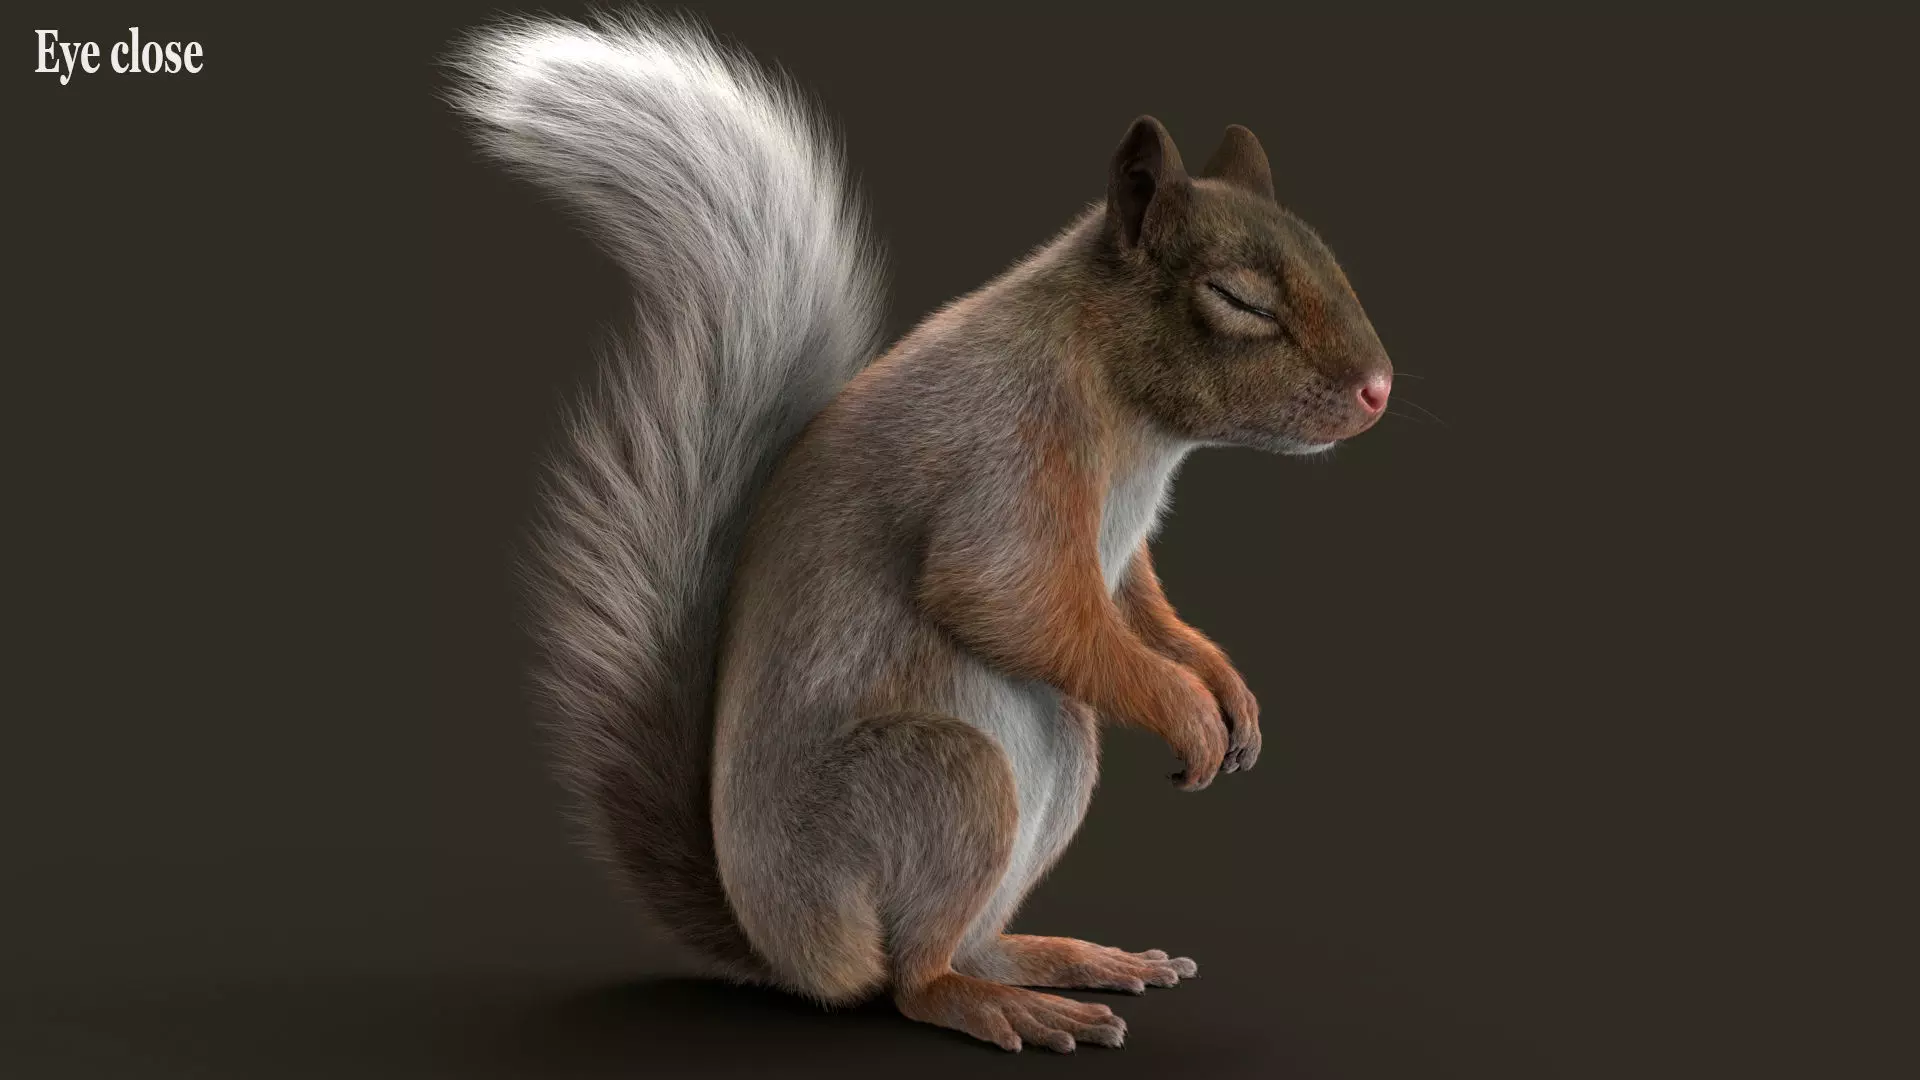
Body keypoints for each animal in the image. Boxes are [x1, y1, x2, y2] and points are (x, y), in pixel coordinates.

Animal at [453, 14, 1392, 1053]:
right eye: (1239, 300)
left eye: (1330, 258)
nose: (1379, 391)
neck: (1130, 415)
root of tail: (787, 951)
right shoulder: (1007, 454)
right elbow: (1003, 596)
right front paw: (1187, 708)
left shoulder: (1112, 563)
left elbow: (1135, 606)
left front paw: (1227, 690)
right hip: (941, 781)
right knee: (910, 981)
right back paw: (989, 1002)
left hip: (1054, 766)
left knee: (960, 940)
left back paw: (1058, 958)